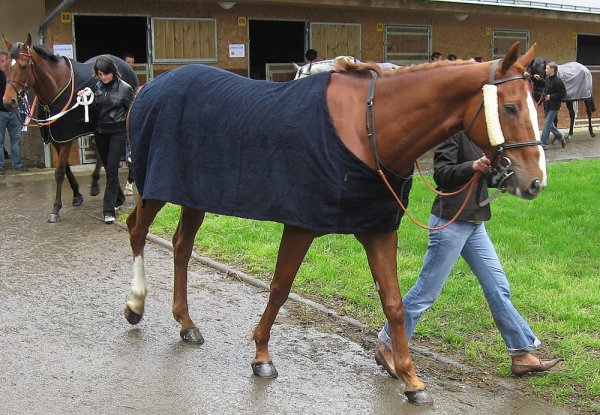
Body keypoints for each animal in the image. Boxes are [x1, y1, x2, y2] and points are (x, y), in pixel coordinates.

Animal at [2, 35, 138, 224]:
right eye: (6, 67)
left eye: (23, 66)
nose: (9, 102)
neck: (55, 87)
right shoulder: (55, 138)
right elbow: (65, 168)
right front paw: (77, 195)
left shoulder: (65, 137)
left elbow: (59, 171)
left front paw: (55, 209)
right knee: (101, 154)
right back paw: (97, 185)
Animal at [124, 41, 548, 406]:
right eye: (511, 108)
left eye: (536, 104)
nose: (535, 182)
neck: (367, 126)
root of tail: (149, 87)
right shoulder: (301, 225)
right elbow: (280, 288)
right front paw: (262, 355)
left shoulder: (378, 230)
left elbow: (394, 303)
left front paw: (410, 379)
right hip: (154, 188)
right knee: (137, 231)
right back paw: (135, 305)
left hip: (192, 194)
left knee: (181, 245)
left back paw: (185, 323)